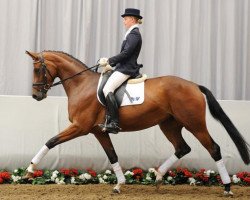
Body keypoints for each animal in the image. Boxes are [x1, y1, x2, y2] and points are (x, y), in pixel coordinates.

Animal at [25, 50, 250, 195]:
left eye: (37, 69)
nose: (36, 96)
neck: (81, 85)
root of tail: (194, 85)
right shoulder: (99, 131)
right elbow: (112, 155)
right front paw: (119, 185)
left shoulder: (80, 127)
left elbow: (51, 141)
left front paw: (29, 170)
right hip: (169, 124)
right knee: (182, 148)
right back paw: (158, 176)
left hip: (194, 124)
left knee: (214, 148)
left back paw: (227, 188)